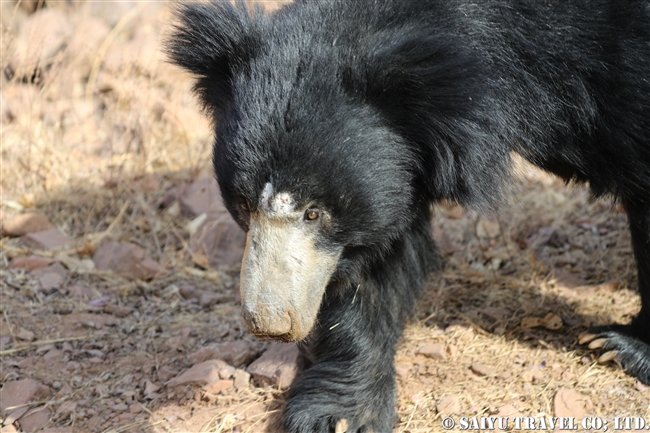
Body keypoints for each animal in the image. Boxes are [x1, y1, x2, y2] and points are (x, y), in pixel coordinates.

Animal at [168, 1, 648, 430]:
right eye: (244, 204)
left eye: (314, 213)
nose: (270, 323)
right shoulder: (400, 165)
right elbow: (377, 264)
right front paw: (339, 414)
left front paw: (622, 346)